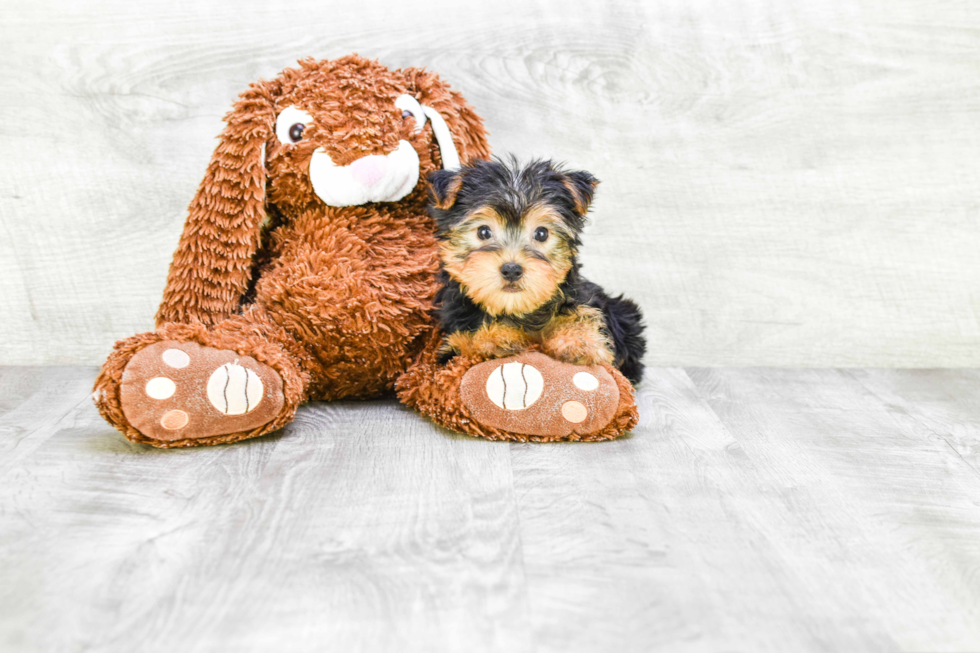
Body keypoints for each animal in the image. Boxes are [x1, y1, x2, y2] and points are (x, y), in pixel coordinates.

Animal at [426, 157, 644, 382]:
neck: (515, 309)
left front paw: (578, 340)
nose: (511, 269)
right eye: (483, 232)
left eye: (541, 233)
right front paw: (496, 337)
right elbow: (466, 343)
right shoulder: (450, 341)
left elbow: (580, 314)